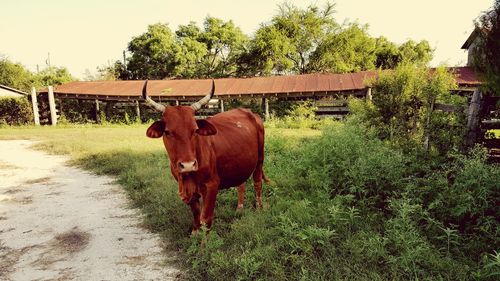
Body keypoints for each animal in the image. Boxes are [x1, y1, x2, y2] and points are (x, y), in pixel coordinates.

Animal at [144, 80, 268, 231]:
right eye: (167, 132)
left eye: (195, 130)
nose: (188, 165)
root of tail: (250, 112)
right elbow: (196, 212)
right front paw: (195, 231)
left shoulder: (211, 185)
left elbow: (206, 219)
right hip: (240, 163)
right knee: (241, 184)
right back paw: (239, 208)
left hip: (260, 159)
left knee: (257, 183)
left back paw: (259, 208)